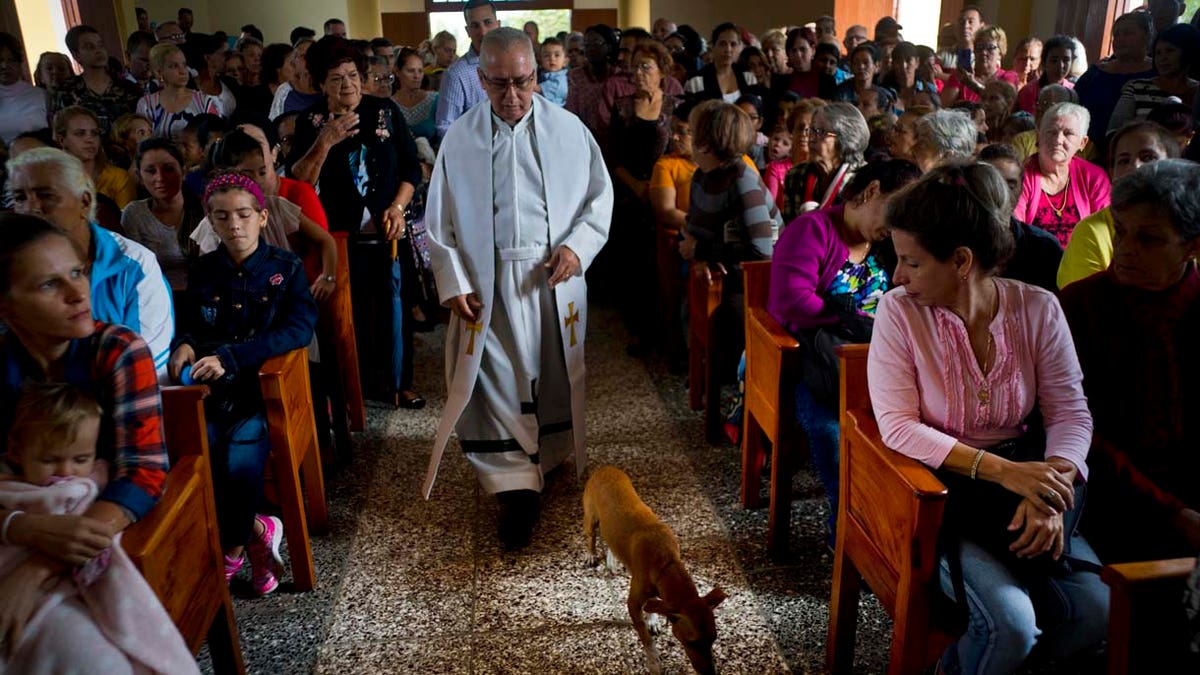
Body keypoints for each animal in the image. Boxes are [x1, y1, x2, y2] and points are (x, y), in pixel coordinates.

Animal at [578, 466, 720, 667]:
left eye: (713, 639)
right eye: (692, 642)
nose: (711, 671)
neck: (667, 563)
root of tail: (605, 467)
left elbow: (653, 604)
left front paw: (653, 619)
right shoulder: (632, 604)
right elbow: (645, 636)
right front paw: (653, 661)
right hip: (590, 518)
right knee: (591, 537)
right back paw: (591, 555)